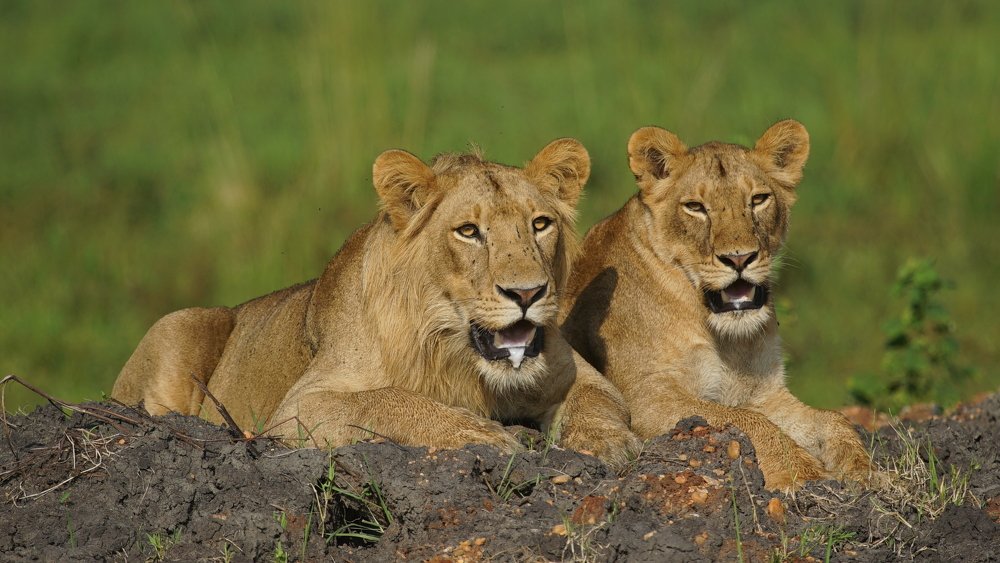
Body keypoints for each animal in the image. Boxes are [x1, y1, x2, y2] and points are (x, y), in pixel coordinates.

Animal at [112, 138, 640, 467]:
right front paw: (483, 436)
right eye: (469, 231)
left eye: (539, 224)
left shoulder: (579, 375)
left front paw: (608, 444)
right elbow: (385, 401)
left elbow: (597, 403)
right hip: (182, 321)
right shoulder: (301, 407)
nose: (528, 293)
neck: (452, 352)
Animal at [560, 120, 871, 489]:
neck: (727, 339)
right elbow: (744, 419)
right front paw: (804, 474)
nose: (739, 258)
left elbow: (832, 418)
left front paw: (864, 471)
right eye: (695, 207)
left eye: (758, 199)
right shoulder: (648, 399)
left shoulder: (765, 393)